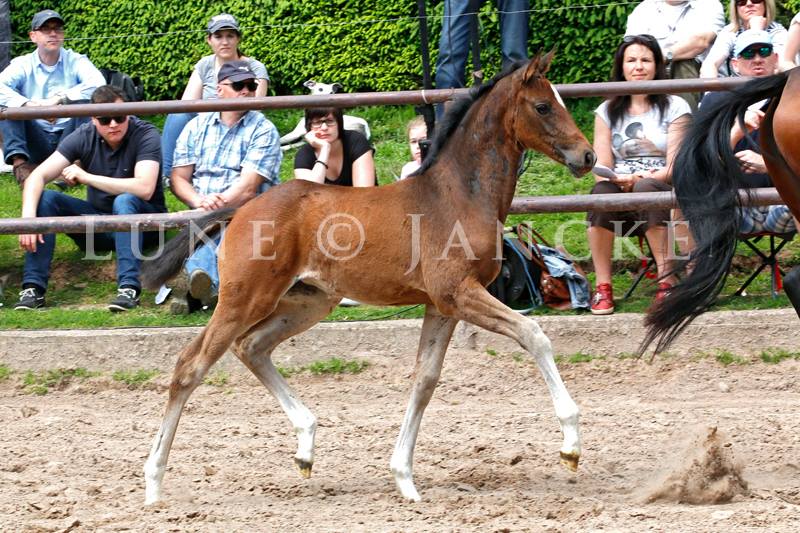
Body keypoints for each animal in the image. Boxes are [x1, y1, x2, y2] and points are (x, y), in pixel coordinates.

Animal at [141, 52, 596, 504]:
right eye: (543, 106)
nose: (587, 156)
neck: (459, 195)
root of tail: (241, 208)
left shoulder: (442, 305)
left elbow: (425, 380)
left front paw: (404, 477)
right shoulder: (457, 293)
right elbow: (533, 334)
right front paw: (571, 444)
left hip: (307, 302)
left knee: (251, 347)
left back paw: (305, 445)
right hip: (245, 298)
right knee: (191, 364)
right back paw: (154, 483)